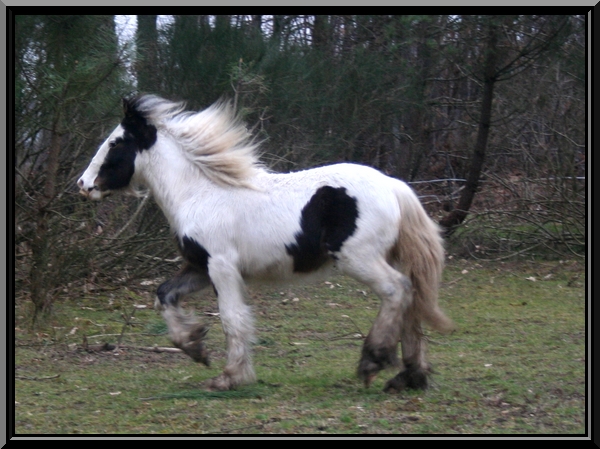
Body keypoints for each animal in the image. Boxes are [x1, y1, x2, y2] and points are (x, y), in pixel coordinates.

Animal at [78, 94, 454, 392]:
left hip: (358, 258)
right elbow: (164, 295)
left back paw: (373, 362)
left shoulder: (221, 266)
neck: (200, 193)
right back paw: (410, 377)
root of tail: (394, 185)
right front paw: (195, 346)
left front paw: (229, 377)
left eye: (115, 143)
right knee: (412, 300)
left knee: (397, 290)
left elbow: (233, 319)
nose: (83, 184)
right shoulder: (200, 267)